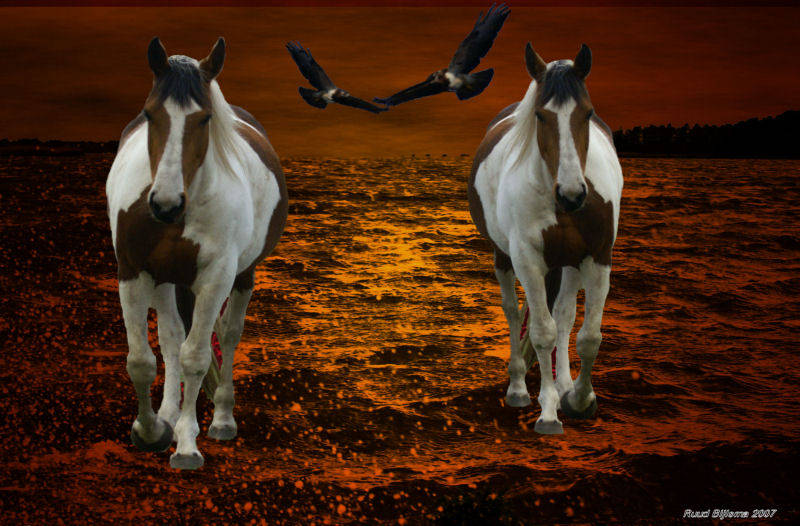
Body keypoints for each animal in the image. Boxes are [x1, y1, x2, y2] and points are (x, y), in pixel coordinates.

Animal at [106, 37, 288, 468]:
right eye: (149, 113)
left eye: (204, 119)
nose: (165, 204)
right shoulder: (134, 271)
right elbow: (142, 360)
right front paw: (152, 429)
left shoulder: (215, 278)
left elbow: (197, 357)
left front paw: (188, 445)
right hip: (166, 280)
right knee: (172, 338)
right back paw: (169, 415)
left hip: (240, 277)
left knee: (229, 335)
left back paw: (221, 419)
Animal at [468, 43, 622, 434]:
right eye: (540, 115)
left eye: (588, 113)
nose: (572, 195)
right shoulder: (528, 260)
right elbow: (541, 332)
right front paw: (549, 412)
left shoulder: (596, 258)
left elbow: (588, 336)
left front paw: (579, 399)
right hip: (505, 258)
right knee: (513, 313)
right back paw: (519, 388)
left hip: (568, 263)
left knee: (565, 315)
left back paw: (565, 385)